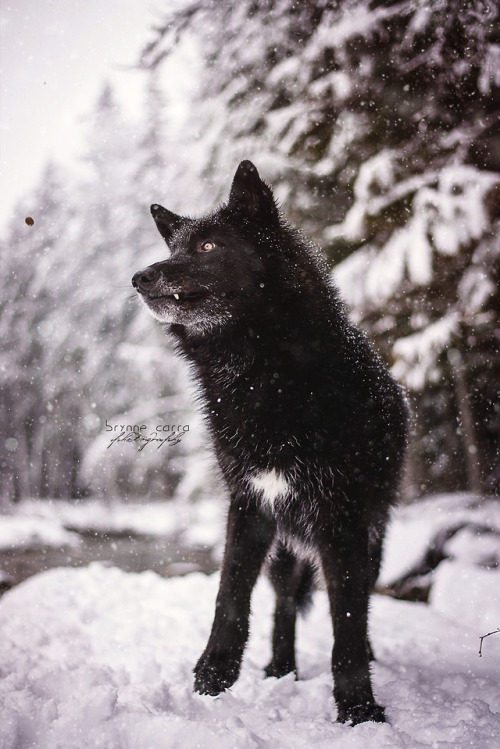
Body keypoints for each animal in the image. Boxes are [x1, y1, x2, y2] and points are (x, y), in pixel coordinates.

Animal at [132, 159, 406, 724]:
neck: (261, 375)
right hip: (285, 549)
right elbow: (230, 597)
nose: (140, 277)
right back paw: (281, 670)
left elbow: (348, 619)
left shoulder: (343, 518)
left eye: (208, 246)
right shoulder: (250, 503)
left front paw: (358, 709)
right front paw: (213, 677)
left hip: (372, 539)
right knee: (283, 604)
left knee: (360, 600)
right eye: (175, 248)